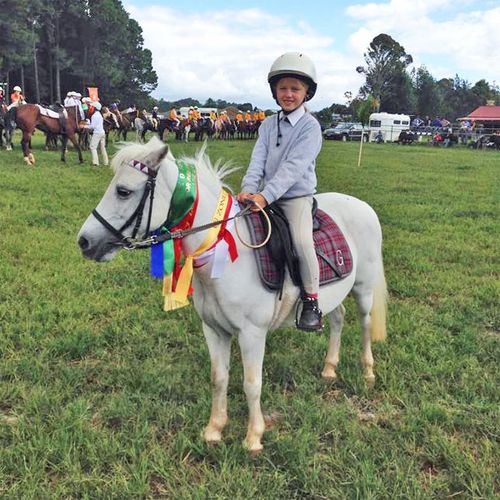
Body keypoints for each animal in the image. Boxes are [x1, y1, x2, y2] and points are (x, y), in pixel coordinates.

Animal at [78, 137, 388, 454]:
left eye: (123, 191)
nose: (84, 241)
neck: (223, 257)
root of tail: (363, 206)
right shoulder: (214, 330)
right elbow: (219, 378)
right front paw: (214, 430)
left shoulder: (252, 333)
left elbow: (252, 383)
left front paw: (253, 438)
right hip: (331, 296)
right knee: (338, 319)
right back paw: (329, 369)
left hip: (363, 288)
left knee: (364, 323)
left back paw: (368, 372)